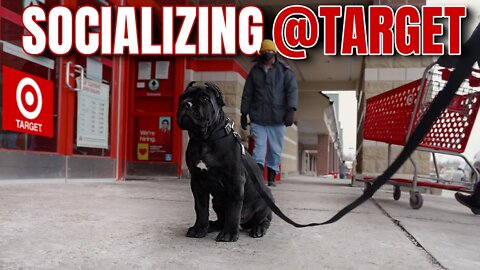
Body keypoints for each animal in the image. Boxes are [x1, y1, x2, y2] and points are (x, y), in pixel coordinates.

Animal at [176, 81, 274, 242]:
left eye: (204, 99)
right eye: (182, 98)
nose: (187, 104)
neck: (204, 140)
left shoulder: (235, 181)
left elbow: (233, 210)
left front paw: (229, 234)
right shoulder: (197, 182)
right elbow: (200, 207)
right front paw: (199, 228)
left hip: (264, 200)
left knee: (265, 219)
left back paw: (258, 228)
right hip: (216, 202)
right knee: (221, 219)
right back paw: (210, 225)